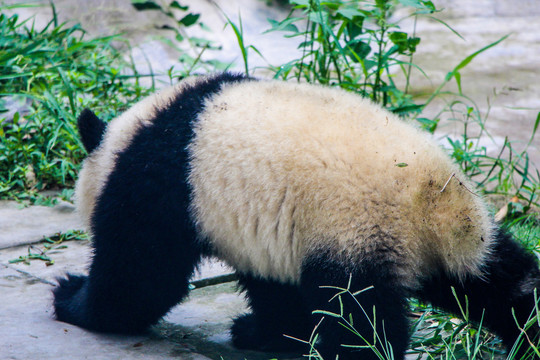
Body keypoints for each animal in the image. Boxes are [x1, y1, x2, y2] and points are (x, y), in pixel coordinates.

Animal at [51, 71, 540, 358]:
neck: (131, 136)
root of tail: (433, 203)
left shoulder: (161, 185)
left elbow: (143, 275)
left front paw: (70, 297)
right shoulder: (264, 232)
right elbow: (272, 288)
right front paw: (259, 331)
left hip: (355, 228)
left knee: (357, 315)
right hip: (464, 243)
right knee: (498, 282)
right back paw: (527, 336)